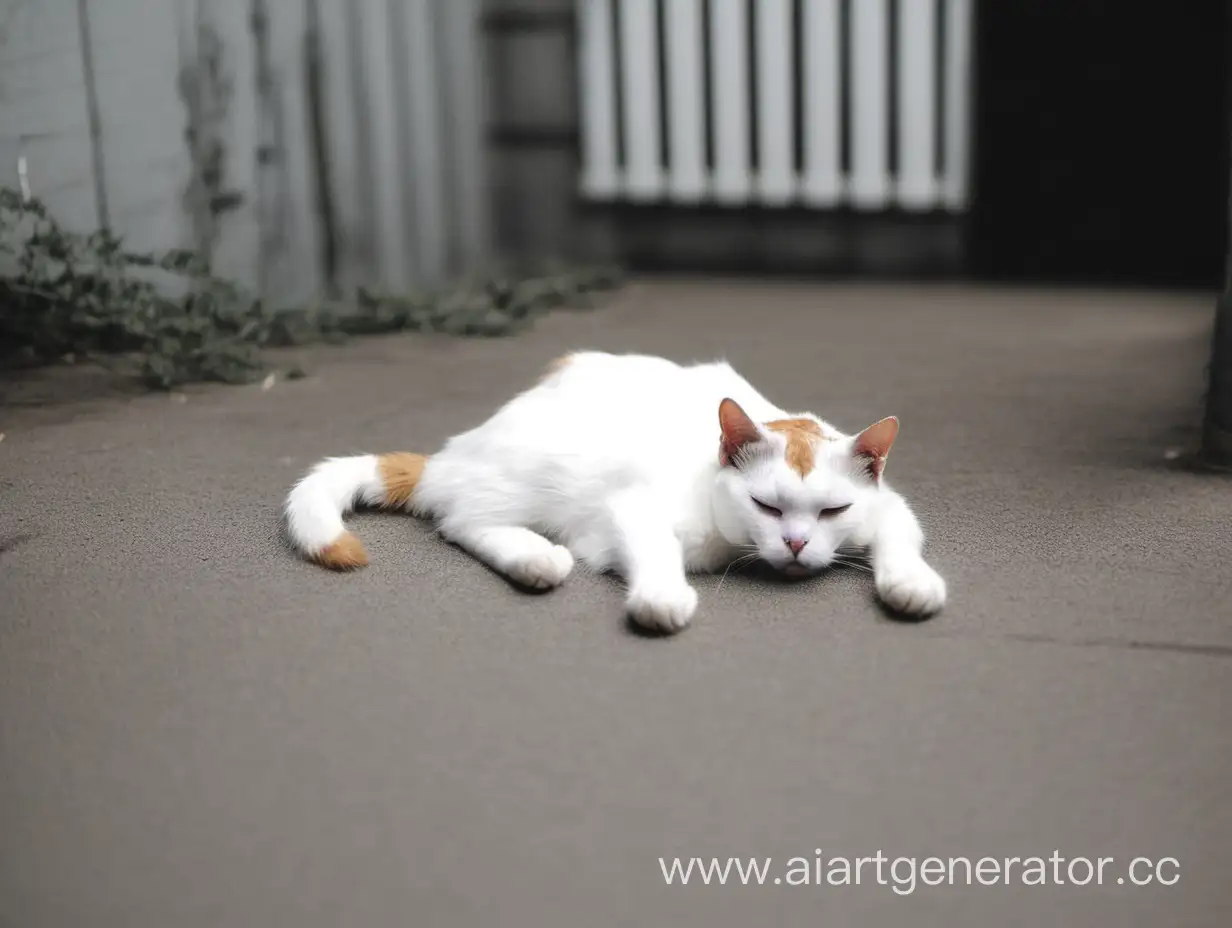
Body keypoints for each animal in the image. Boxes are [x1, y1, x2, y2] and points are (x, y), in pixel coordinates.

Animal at [283, 350, 946, 635]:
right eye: (767, 506)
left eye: (834, 510)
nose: (796, 544)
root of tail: (456, 449)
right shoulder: (633, 507)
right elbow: (653, 549)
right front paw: (661, 597)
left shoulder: (890, 507)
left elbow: (901, 541)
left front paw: (911, 584)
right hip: (528, 479)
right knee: (463, 520)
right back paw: (535, 558)